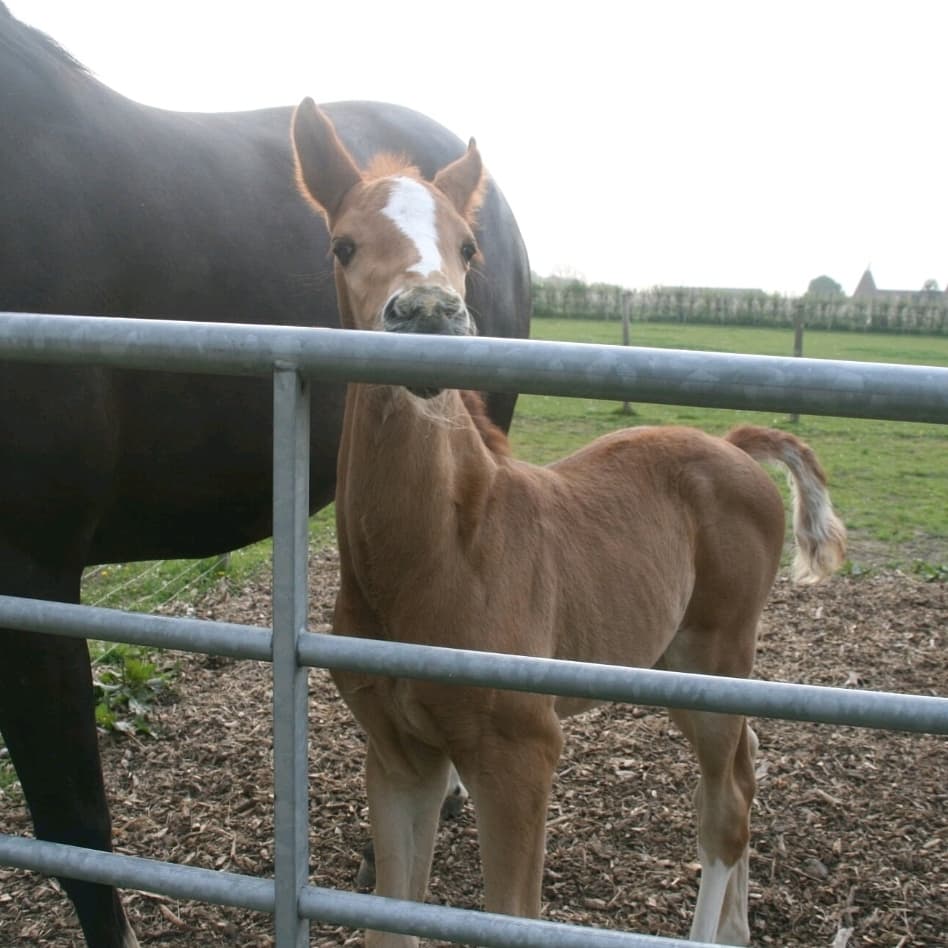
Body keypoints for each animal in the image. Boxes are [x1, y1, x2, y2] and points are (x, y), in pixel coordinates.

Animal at [290, 99, 847, 946]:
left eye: (468, 246)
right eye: (343, 244)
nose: (430, 316)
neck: (440, 556)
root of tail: (732, 441)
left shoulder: (521, 756)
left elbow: (512, 915)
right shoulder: (397, 758)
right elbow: (391, 915)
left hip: (716, 659)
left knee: (725, 812)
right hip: (678, 667)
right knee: (745, 773)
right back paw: (740, 928)